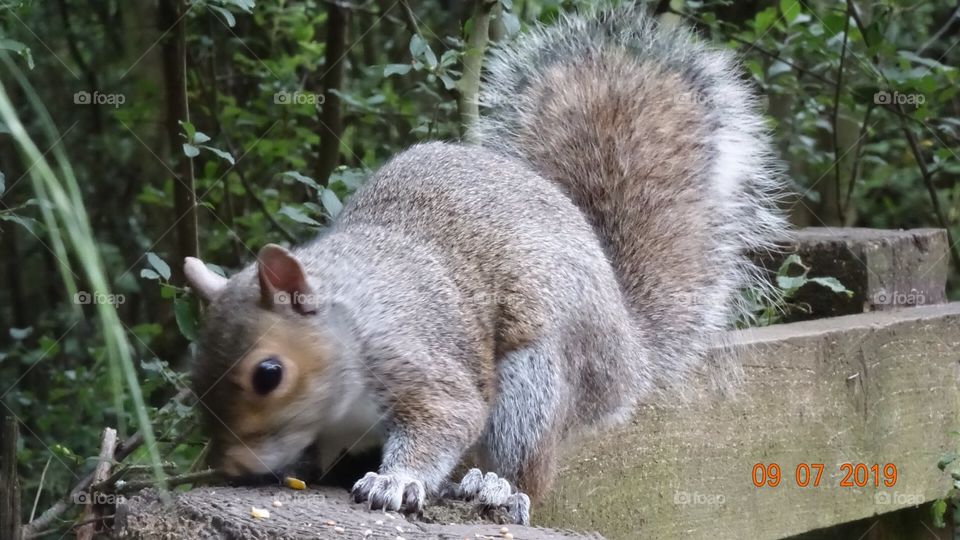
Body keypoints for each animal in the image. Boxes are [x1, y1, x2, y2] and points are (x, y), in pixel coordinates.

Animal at [183, 3, 786, 524]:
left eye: (268, 374)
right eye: (195, 373)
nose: (229, 467)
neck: (351, 320)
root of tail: (629, 356)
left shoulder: (421, 362)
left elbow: (447, 419)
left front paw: (394, 480)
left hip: (536, 381)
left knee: (527, 467)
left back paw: (495, 486)